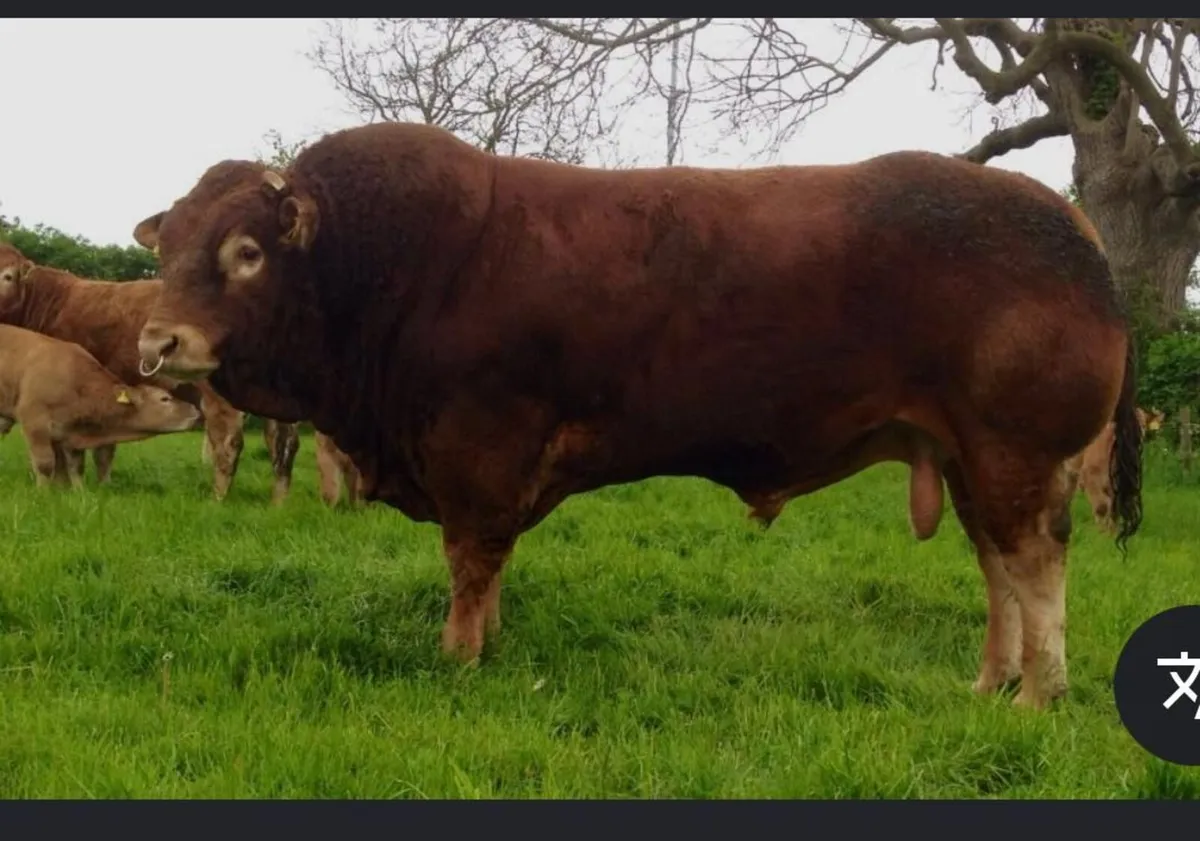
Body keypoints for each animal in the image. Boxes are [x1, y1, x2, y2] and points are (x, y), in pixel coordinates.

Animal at [0, 323, 200, 486]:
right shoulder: (35, 423)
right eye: (164, 399)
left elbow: (76, 466)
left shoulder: (71, 433)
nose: (195, 410)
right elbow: (45, 464)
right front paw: (43, 494)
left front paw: (79, 493)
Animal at [131, 121, 1143, 710]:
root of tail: (1066, 220)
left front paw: (459, 655)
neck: (387, 264)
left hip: (1013, 452)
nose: (158, 340)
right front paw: (490, 640)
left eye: (247, 249)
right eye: (169, 245)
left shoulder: (478, 448)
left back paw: (1039, 694)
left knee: (1034, 561)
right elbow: (490, 567)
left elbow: (470, 560)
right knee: (997, 565)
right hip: (968, 455)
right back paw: (991, 678)